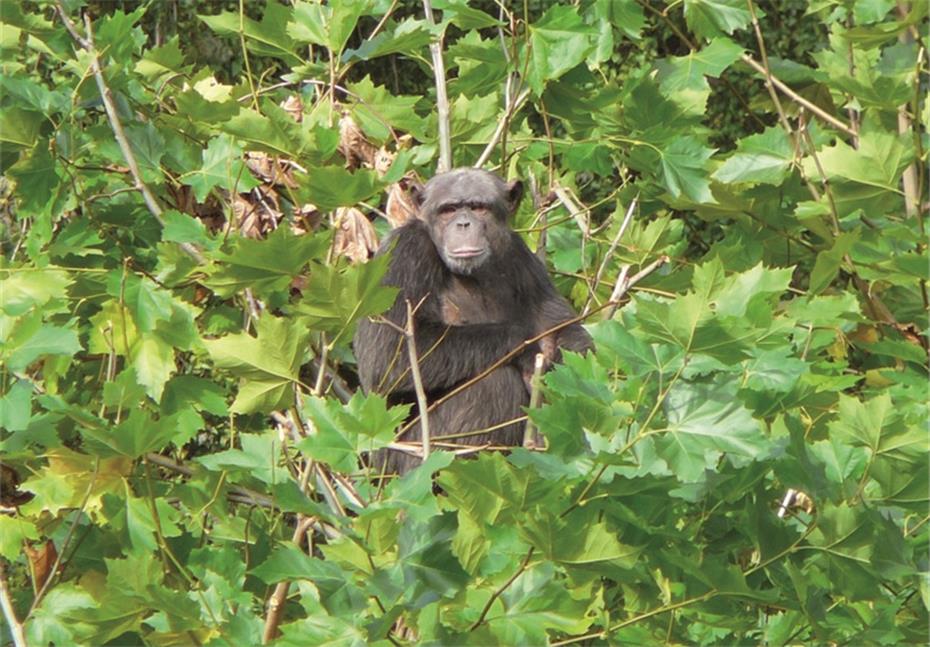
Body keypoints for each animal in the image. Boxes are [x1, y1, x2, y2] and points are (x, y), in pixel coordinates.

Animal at [352, 170, 592, 474]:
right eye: (449, 209)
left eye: (478, 207)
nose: (463, 223)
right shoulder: (402, 253)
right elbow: (388, 354)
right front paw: (528, 348)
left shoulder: (523, 258)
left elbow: (566, 331)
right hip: (407, 459)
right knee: (493, 382)